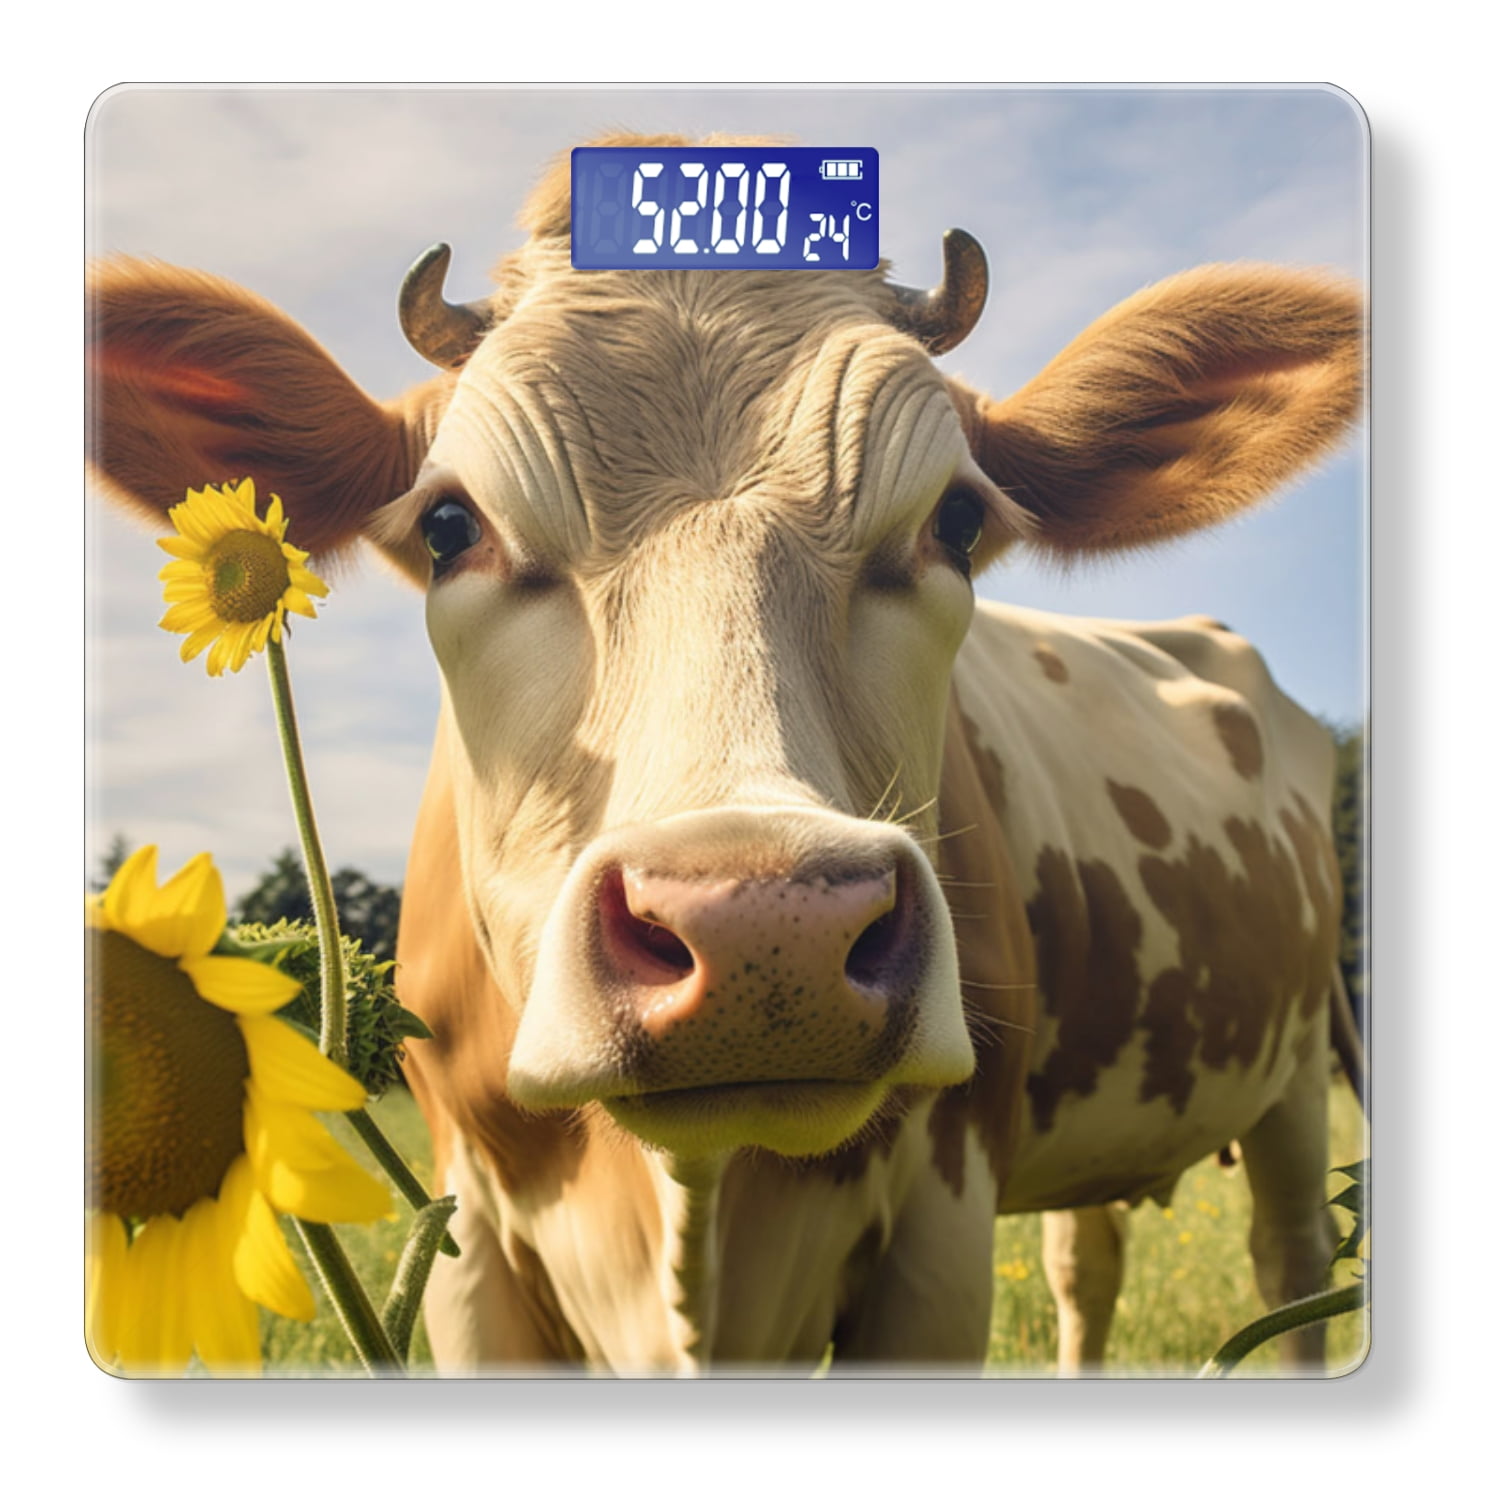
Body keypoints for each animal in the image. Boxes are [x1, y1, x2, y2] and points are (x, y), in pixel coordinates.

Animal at [87, 133, 1364, 1375]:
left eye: (956, 521)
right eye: (450, 527)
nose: (764, 928)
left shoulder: (943, 1230)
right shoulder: (466, 1238)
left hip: (1299, 1080)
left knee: (1289, 1262)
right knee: (1084, 1270)